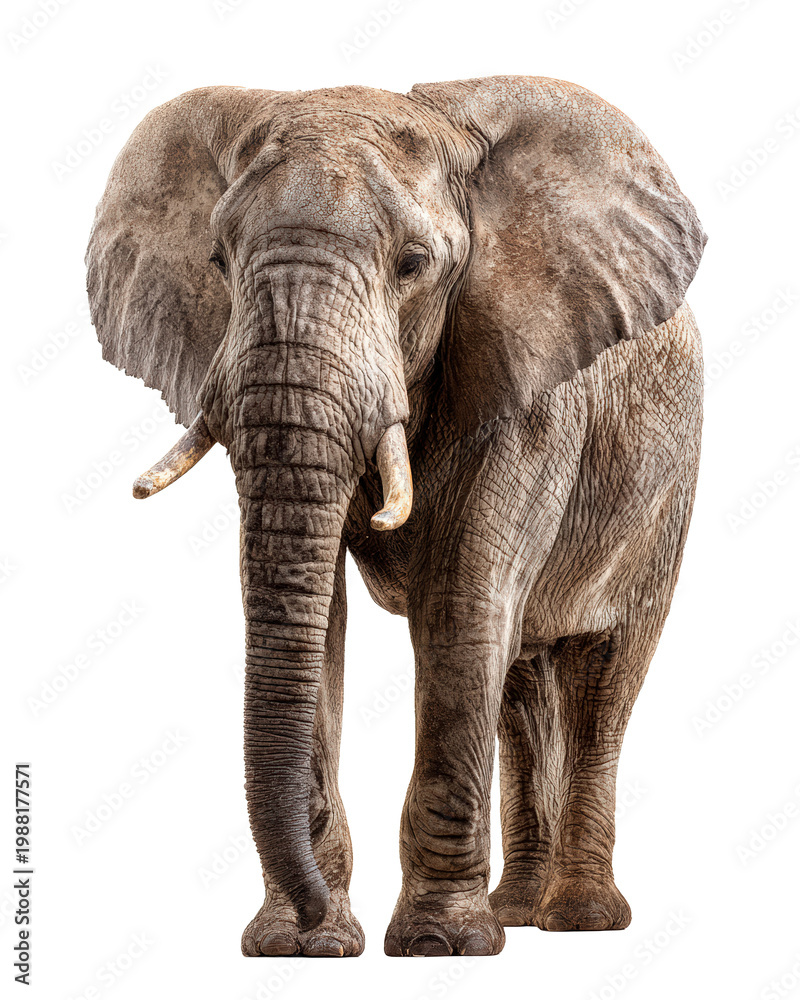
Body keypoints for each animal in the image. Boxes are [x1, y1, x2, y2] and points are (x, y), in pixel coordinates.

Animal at [86, 75, 705, 958]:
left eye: (414, 265)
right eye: (218, 262)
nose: (312, 910)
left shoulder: (526, 386)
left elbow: (458, 609)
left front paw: (440, 945)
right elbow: (319, 618)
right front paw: (303, 945)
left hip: (667, 488)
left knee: (604, 676)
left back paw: (578, 920)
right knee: (519, 682)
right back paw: (519, 911)